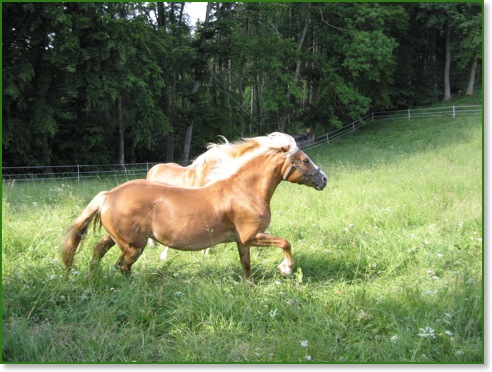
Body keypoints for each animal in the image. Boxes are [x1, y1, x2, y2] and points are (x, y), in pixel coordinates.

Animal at [61, 133, 328, 280]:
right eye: (305, 160)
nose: (323, 179)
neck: (244, 190)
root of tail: (108, 194)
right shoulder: (253, 235)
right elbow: (285, 243)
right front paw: (286, 269)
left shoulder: (243, 241)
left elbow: (246, 265)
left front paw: (250, 287)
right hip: (134, 245)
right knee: (122, 266)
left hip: (117, 237)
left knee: (98, 251)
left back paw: (93, 276)